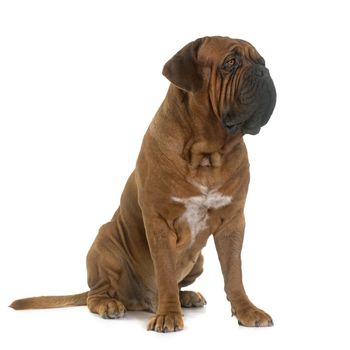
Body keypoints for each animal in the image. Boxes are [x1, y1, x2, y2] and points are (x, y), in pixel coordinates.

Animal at [9, 37, 276, 332]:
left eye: (261, 61)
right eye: (230, 63)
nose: (263, 72)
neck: (206, 156)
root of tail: (140, 301)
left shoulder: (232, 222)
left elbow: (234, 274)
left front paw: (246, 310)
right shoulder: (159, 223)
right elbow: (166, 273)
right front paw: (168, 315)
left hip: (199, 260)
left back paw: (187, 297)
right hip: (105, 241)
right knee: (96, 294)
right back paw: (111, 305)